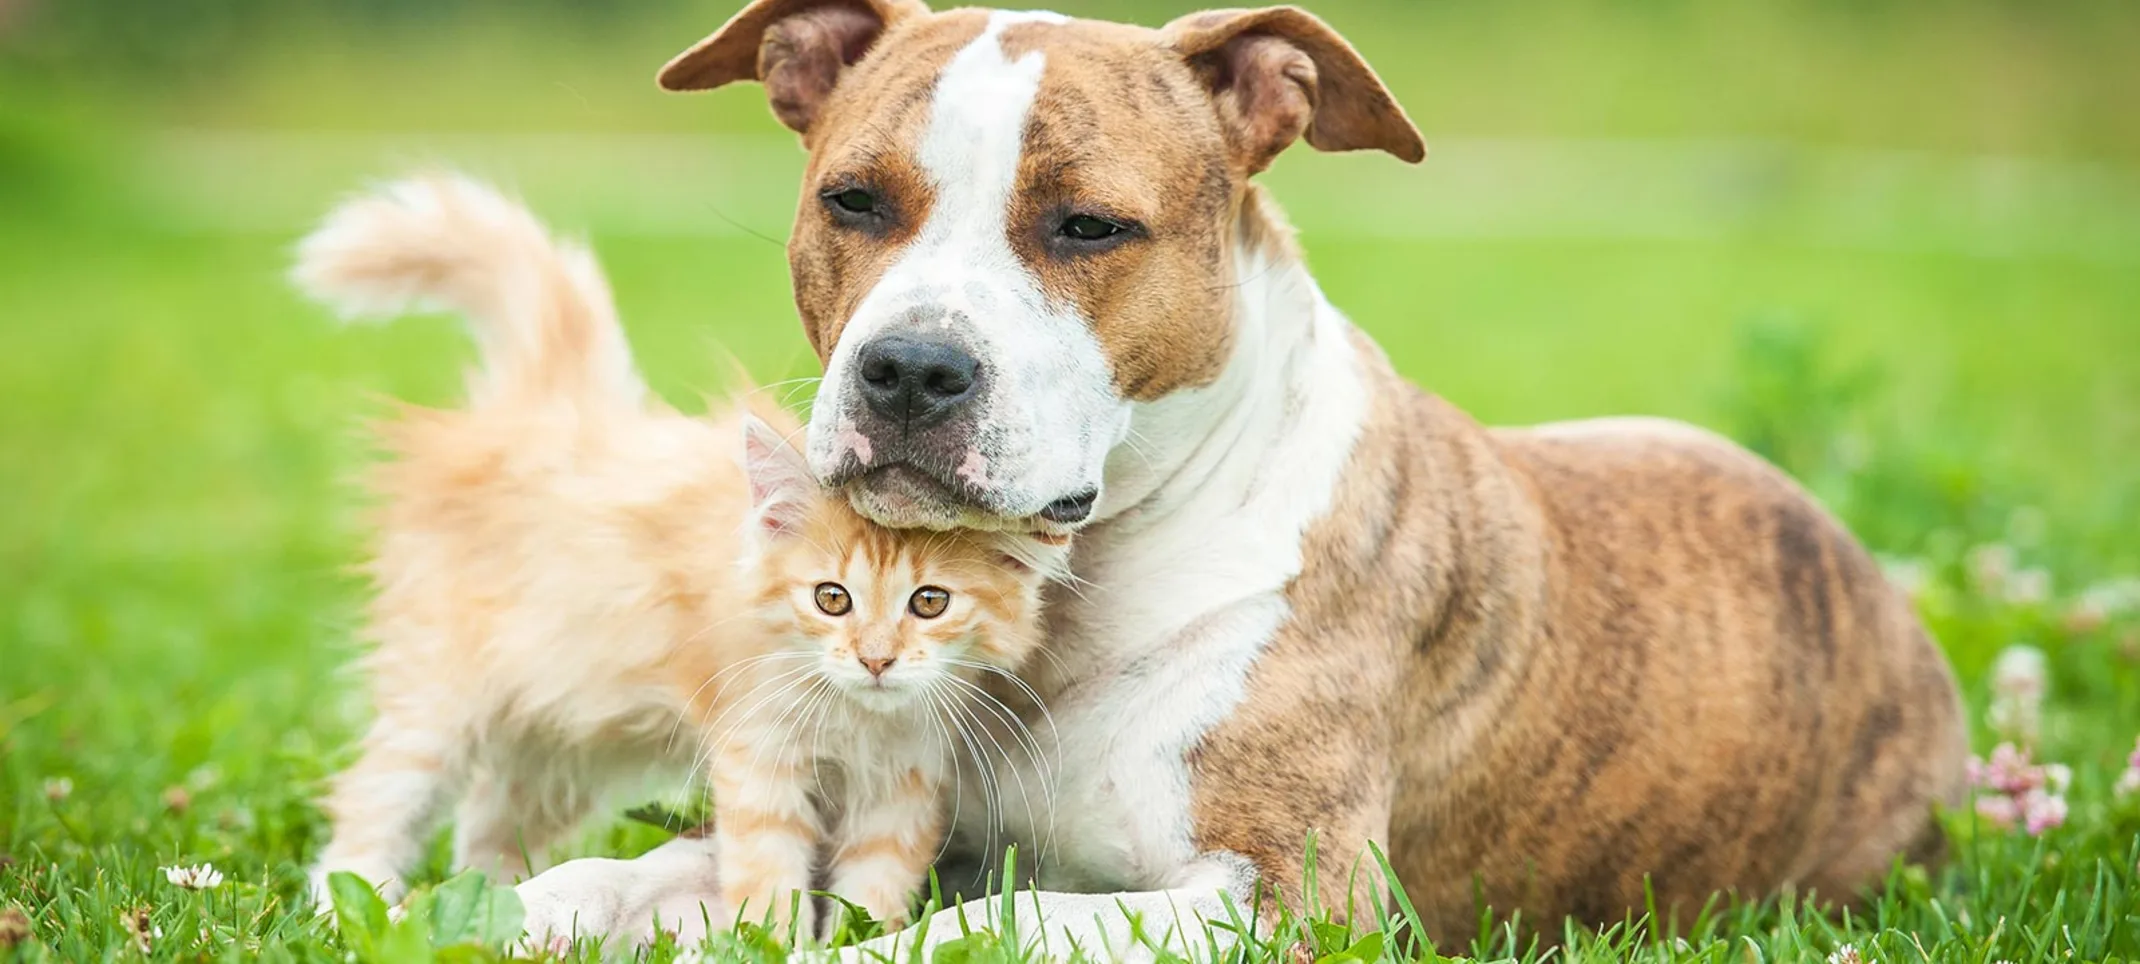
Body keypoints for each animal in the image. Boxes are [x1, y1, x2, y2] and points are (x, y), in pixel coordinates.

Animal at [288, 174, 1057, 934]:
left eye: (930, 603)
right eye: (830, 598)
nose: (875, 660)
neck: (855, 715)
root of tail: (547, 407)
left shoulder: (904, 781)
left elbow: (872, 892)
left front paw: (861, 939)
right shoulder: (756, 754)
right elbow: (770, 874)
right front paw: (774, 942)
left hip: (557, 728)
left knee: (488, 824)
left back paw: (491, 902)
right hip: (441, 695)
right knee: (375, 800)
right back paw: (345, 910)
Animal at [505, 0, 1968, 955]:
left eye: (1090, 226)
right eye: (853, 201)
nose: (911, 370)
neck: (1066, 591)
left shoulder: (1289, 893)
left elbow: (996, 922)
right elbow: (640, 872)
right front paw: (524, 902)